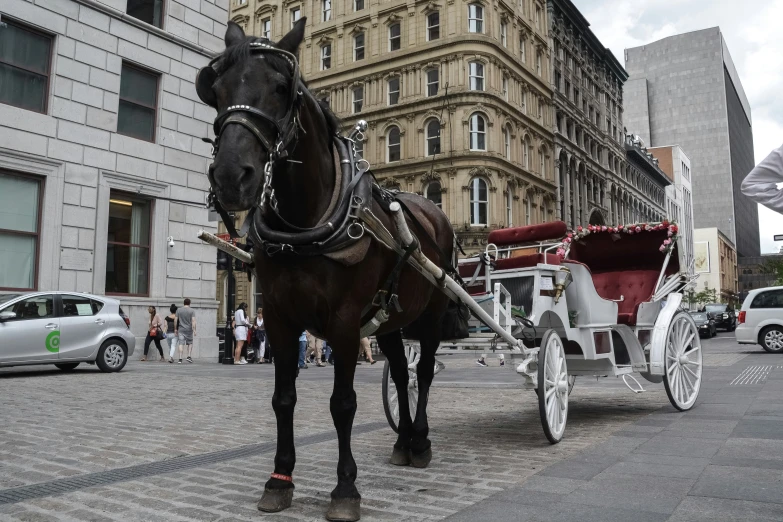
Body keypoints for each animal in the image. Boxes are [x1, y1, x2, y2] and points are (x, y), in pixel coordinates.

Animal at [194, 19, 454, 520]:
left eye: (282, 88)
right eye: (215, 90)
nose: (231, 177)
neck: (306, 224)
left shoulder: (345, 323)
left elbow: (343, 404)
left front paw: (345, 488)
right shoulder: (279, 318)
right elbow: (283, 399)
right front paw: (279, 478)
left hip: (431, 313)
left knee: (426, 372)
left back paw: (422, 440)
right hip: (389, 321)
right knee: (400, 371)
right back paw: (403, 442)